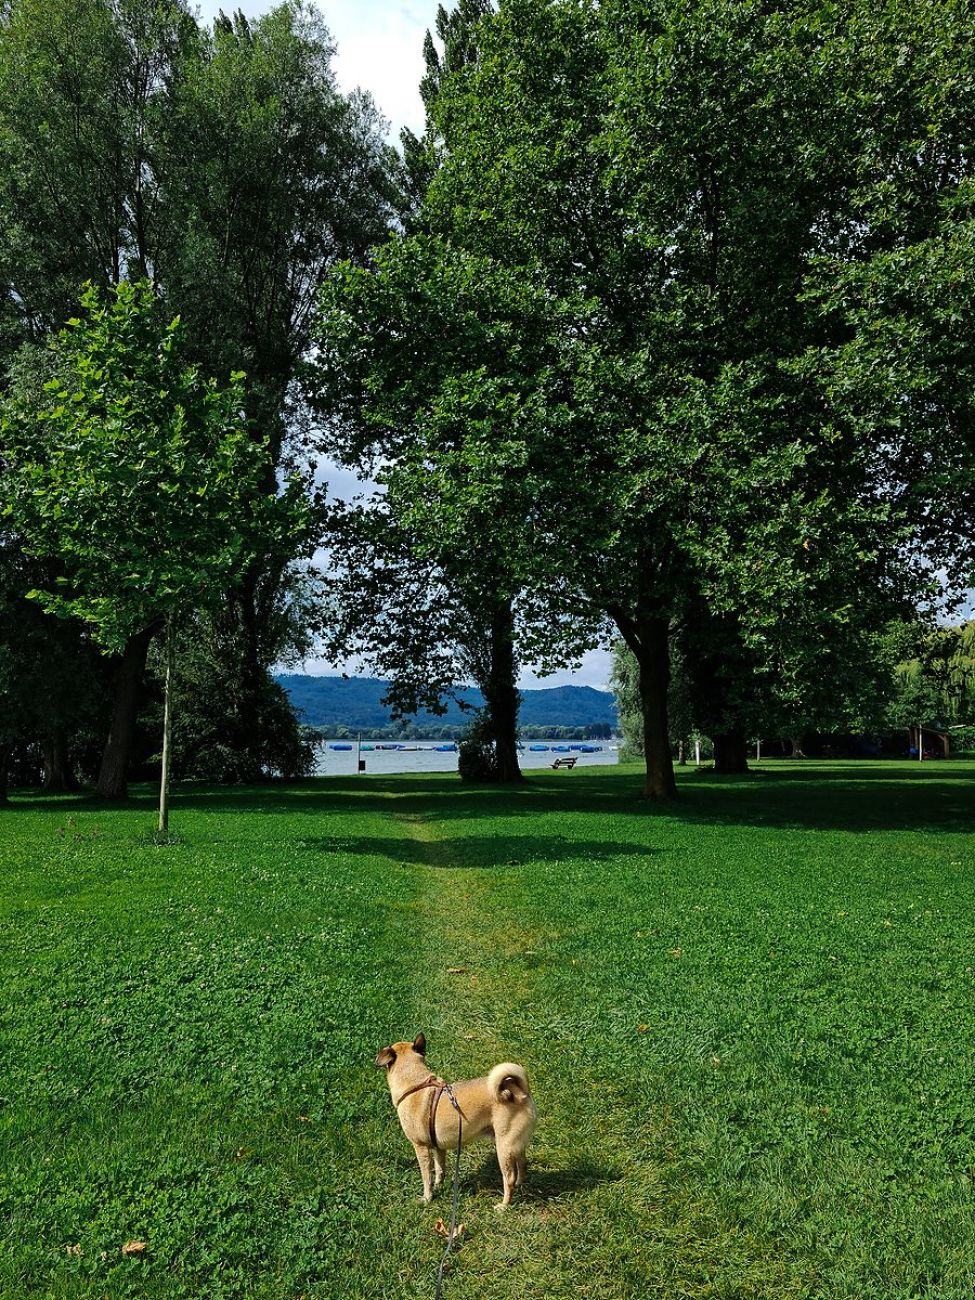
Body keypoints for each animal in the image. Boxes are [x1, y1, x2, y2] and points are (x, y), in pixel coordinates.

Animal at [377, 1034, 543, 1206]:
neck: (415, 1084)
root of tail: (520, 1092)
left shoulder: (421, 1147)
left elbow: (426, 1176)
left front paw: (427, 1197)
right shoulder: (438, 1148)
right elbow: (440, 1169)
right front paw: (439, 1185)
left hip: (504, 1147)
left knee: (508, 1178)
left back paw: (504, 1205)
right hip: (515, 1144)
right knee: (522, 1163)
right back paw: (519, 1184)